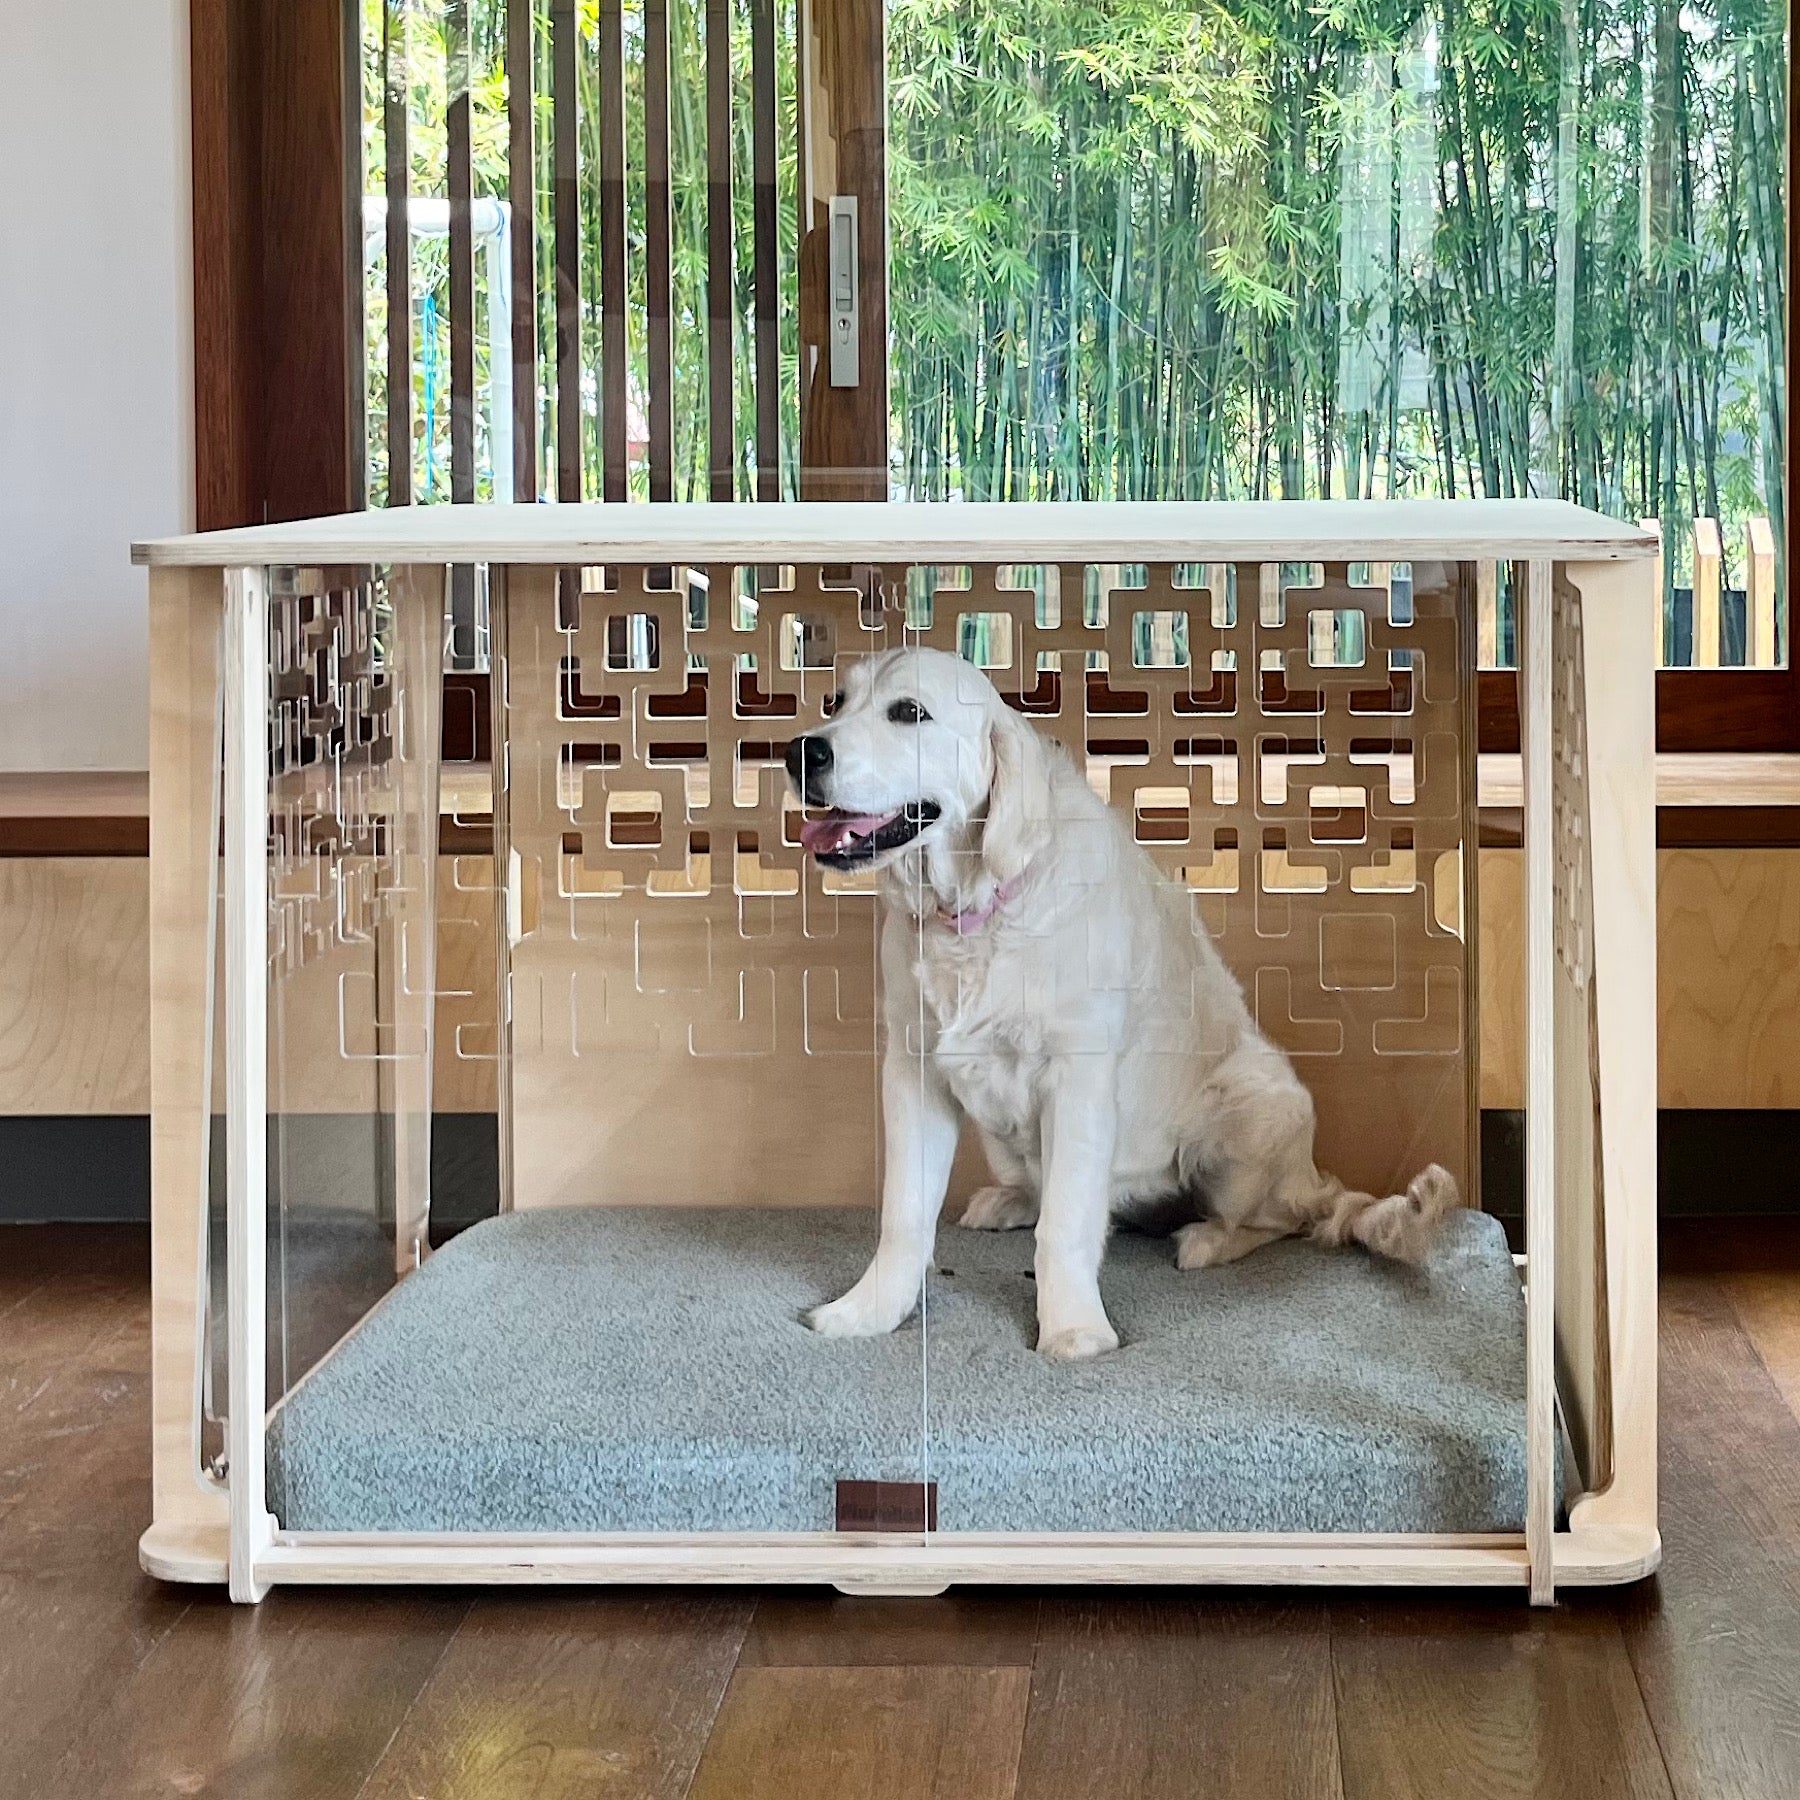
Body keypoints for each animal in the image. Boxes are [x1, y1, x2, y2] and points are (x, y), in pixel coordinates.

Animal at [781, 651, 1454, 1360]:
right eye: (836, 702)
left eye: (909, 712)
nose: (799, 751)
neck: (975, 912)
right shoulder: (914, 1069)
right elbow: (904, 1214)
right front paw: (869, 1310)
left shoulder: (1076, 1077)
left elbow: (1068, 1222)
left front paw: (1073, 1328)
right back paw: (1012, 1202)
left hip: (1254, 1107)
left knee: (1285, 1217)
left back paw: (1208, 1238)